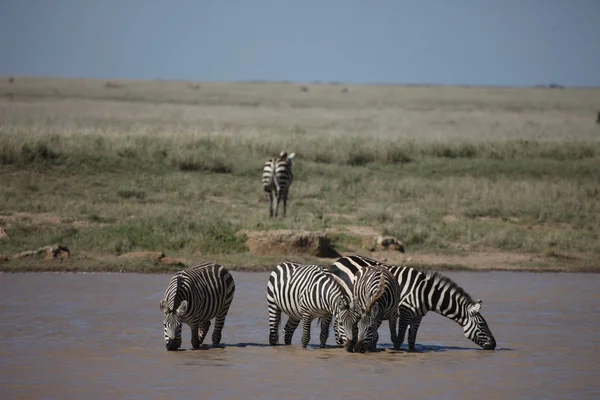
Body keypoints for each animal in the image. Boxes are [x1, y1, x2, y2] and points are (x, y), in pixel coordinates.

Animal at [330, 255, 494, 352]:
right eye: (482, 324)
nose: (494, 345)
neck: (425, 294)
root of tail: (338, 260)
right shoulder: (404, 312)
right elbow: (401, 336)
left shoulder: (418, 316)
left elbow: (412, 338)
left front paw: (412, 351)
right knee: (338, 321)